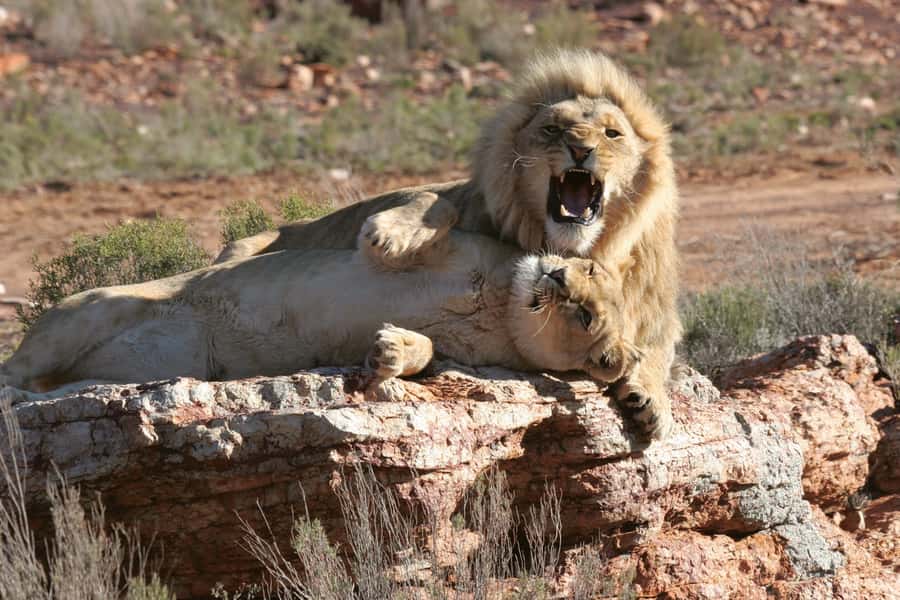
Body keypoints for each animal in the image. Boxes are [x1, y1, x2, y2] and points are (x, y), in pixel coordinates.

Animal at [1, 230, 642, 415]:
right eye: (587, 266)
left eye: (585, 315)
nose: (556, 276)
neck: (504, 306)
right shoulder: (459, 245)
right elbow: (422, 224)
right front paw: (390, 238)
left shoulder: (462, 356)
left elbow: (425, 351)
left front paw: (387, 354)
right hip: (88, 311)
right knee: (14, 372)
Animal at [214, 49, 681, 439]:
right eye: (552, 128)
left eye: (612, 133)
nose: (580, 148)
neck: (575, 244)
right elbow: (436, 202)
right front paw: (392, 235)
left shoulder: (650, 300)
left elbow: (657, 344)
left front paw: (649, 403)